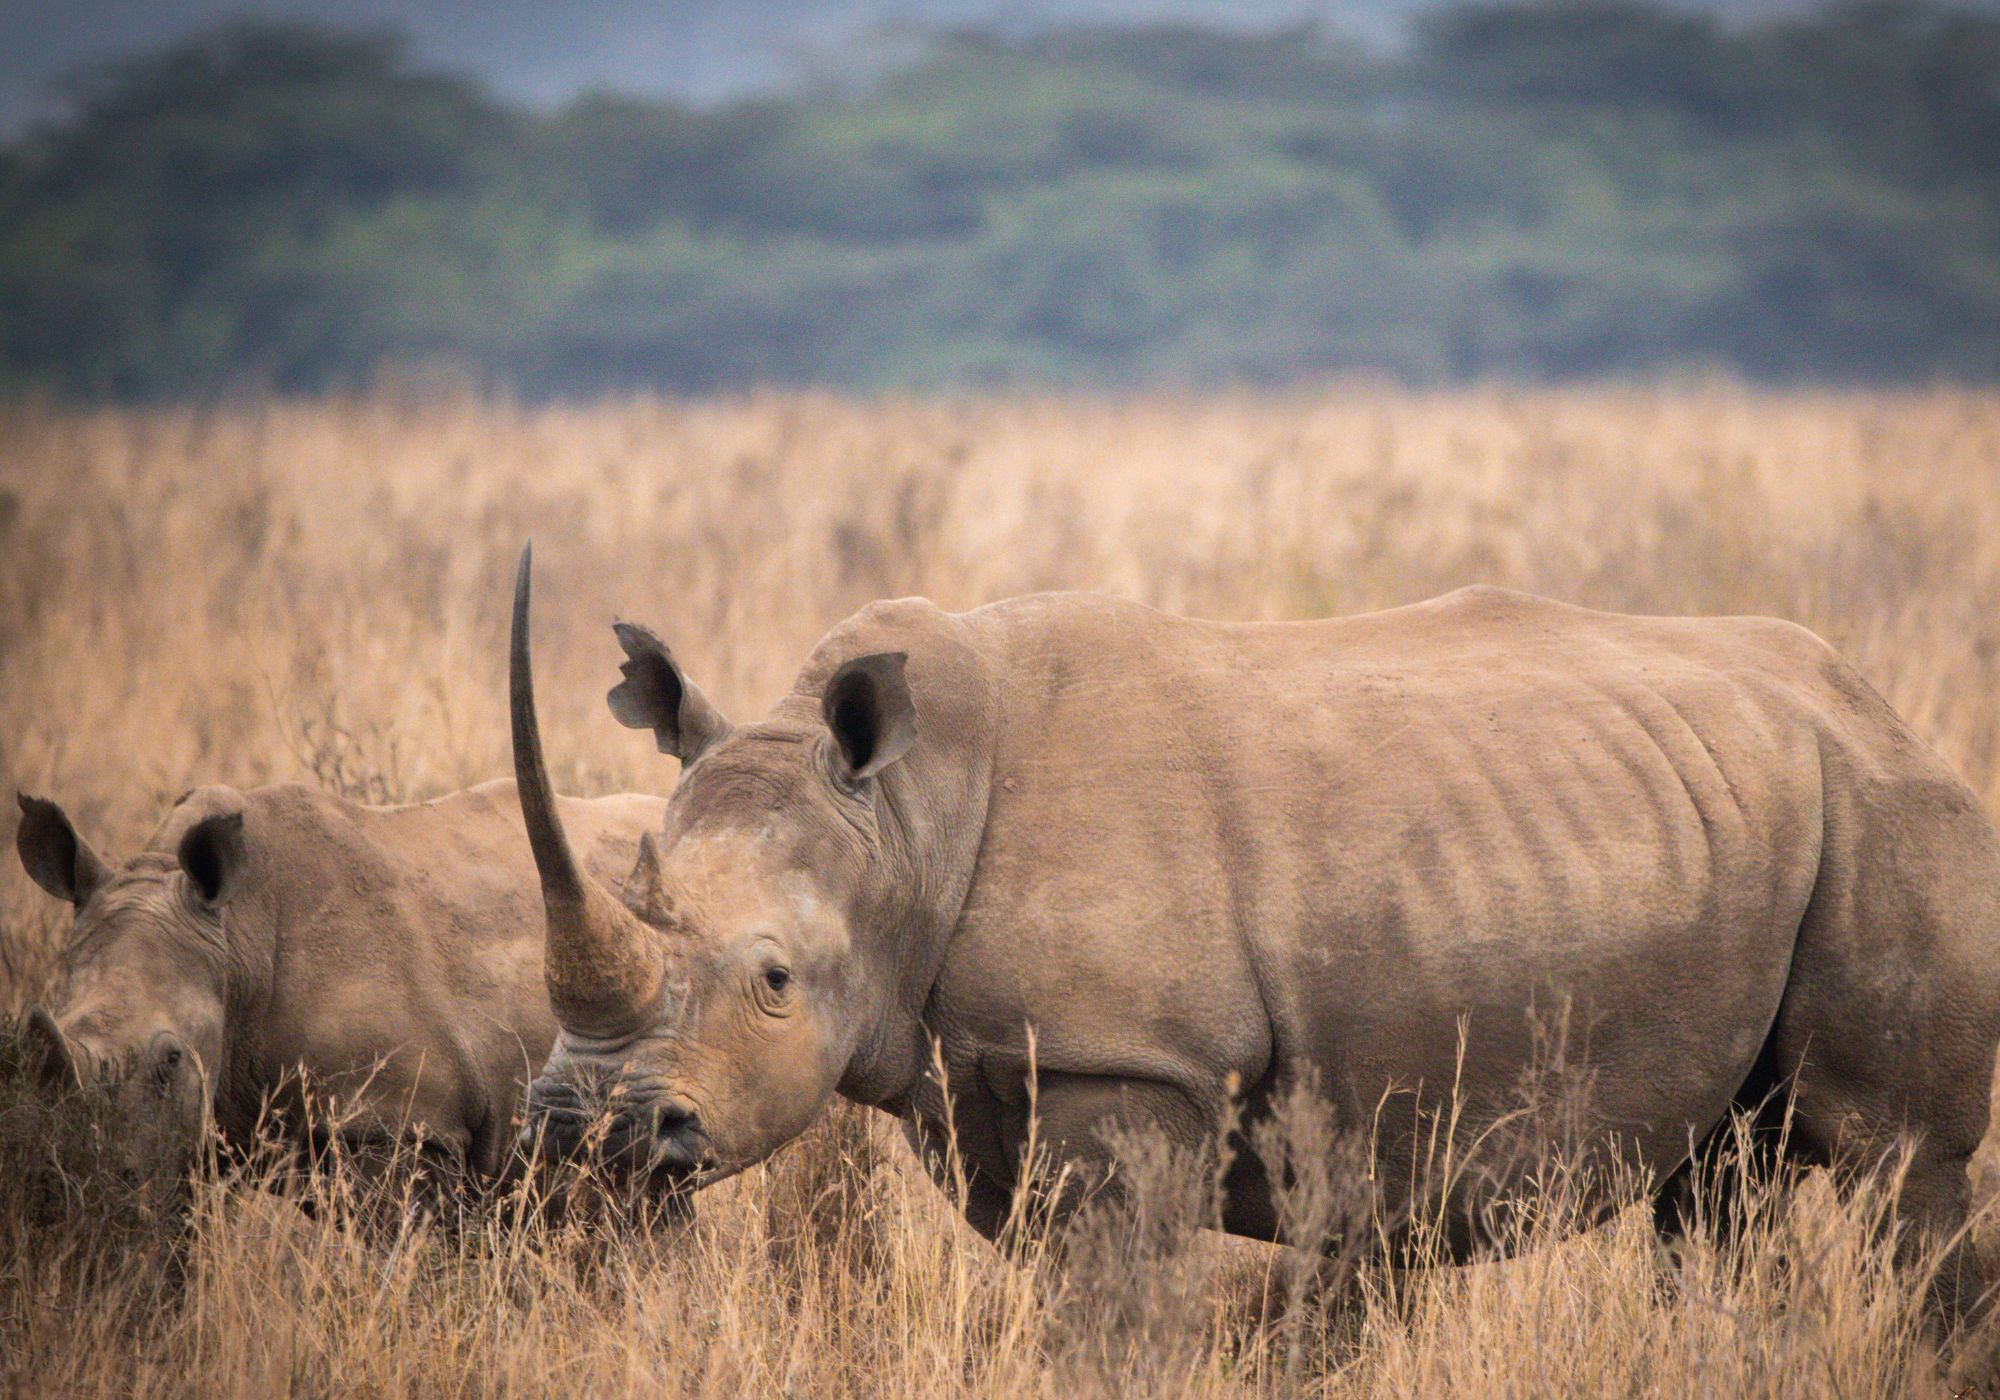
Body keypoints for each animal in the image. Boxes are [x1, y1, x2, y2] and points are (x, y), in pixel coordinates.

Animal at [509, 549, 2000, 1314]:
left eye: (772, 978)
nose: (589, 1130)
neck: (905, 824)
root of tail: (1876, 705)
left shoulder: (1128, 1060)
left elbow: (1106, 1320)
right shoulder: (991, 1074)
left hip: (1885, 809)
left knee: (1898, 1173)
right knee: (1717, 1185)